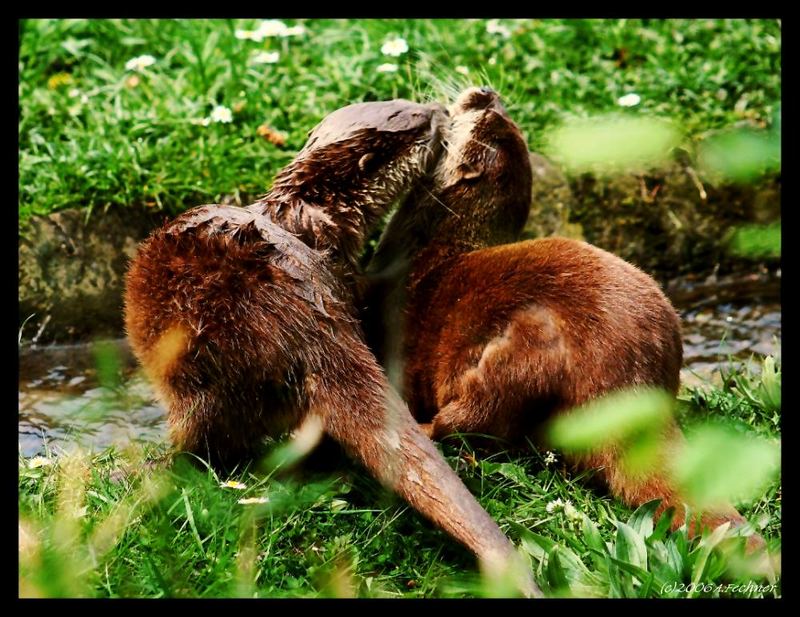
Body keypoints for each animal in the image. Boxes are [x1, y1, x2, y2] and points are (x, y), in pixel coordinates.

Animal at [362, 85, 764, 548]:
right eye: (500, 110)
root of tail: (633, 390)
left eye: (481, 115)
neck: (426, 256)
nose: (485, 92)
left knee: (474, 421)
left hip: (522, 354)